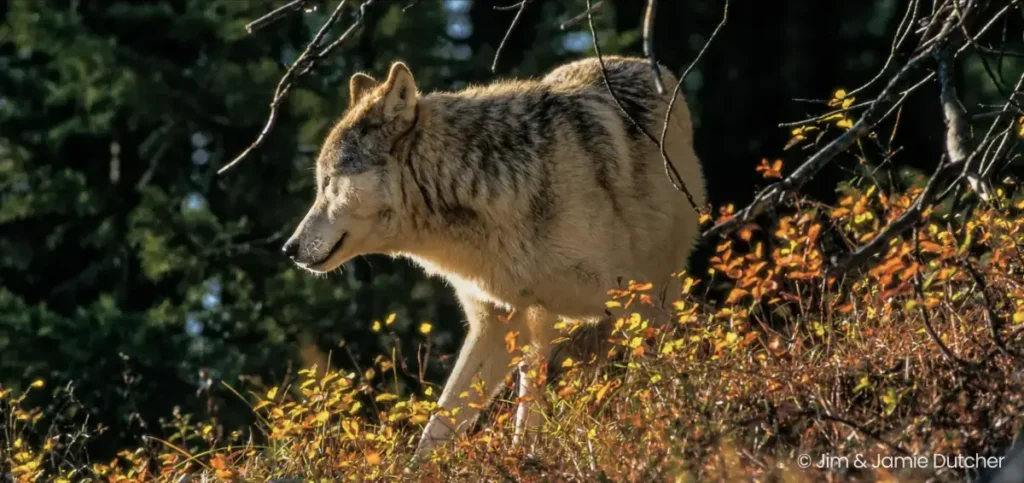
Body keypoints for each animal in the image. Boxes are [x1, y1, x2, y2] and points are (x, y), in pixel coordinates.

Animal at [280, 56, 706, 458]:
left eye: (328, 182)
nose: (289, 248)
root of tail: (645, 64)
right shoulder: (493, 325)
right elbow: (435, 430)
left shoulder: (633, 304)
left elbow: (653, 387)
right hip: (539, 331)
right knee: (529, 398)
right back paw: (525, 453)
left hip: (657, 295)